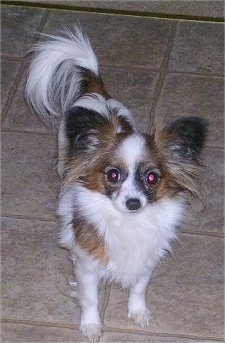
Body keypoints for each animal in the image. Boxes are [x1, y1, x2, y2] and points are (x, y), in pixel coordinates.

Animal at [25, 26, 207, 342]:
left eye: (151, 178)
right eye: (113, 175)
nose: (133, 203)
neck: (129, 223)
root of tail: (97, 91)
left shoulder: (146, 260)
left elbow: (139, 289)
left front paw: (138, 313)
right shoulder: (87, 268)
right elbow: (90, 299)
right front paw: (91, 326)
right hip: (62, 155)